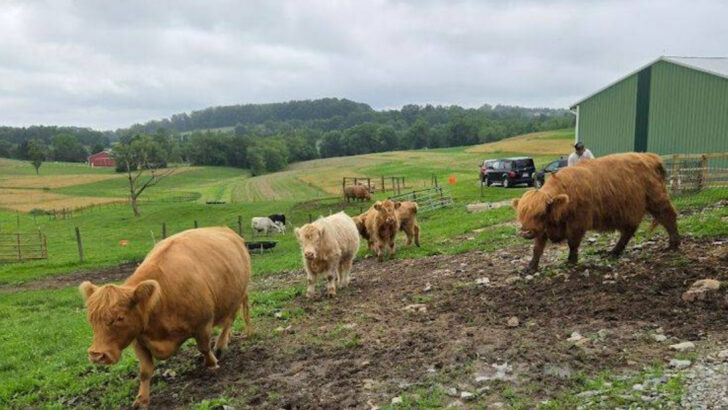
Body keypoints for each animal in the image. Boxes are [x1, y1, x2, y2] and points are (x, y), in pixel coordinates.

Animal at [78, 227, 252, 409]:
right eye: (91, 319)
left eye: (120, 317)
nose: (96, 354)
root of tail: (225, 229)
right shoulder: (138, 340)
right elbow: (145, 371)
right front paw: (142, 399)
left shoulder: (203, 324)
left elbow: (204, 348)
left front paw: (212, 364)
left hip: (236, 297)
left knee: (228, 322)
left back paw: (220, 345)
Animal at [512, 152, 680, 272]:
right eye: (521, 215)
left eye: (540, 214)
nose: (526, 232)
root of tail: (649, 157)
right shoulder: (543, 229)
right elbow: (537, 248)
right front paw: (531, 267)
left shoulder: (578, 224)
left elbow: (573, 244)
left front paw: (571, 262)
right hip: (628, 210)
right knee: (628, 231)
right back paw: (614, 252)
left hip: (656, 199)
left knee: (668, 216)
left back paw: (673, 244)